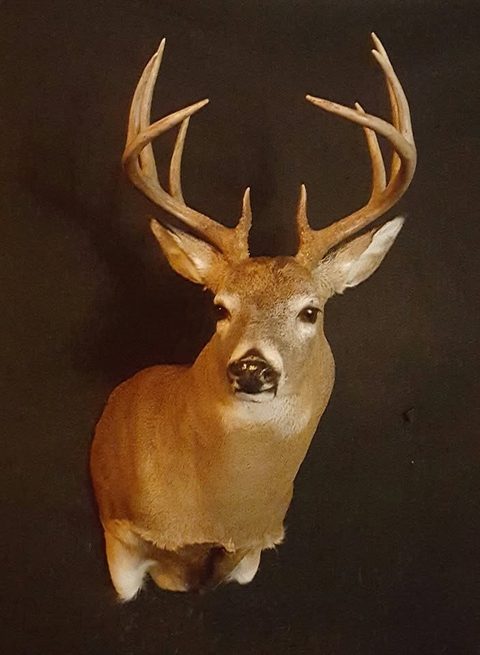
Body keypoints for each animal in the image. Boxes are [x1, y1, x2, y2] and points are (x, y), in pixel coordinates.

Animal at [90, 33, 416, 600]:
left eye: (310, 310)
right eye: (220, 307)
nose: (251, 367)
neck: (221, 516)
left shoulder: (258, 547)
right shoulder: (120, 533)